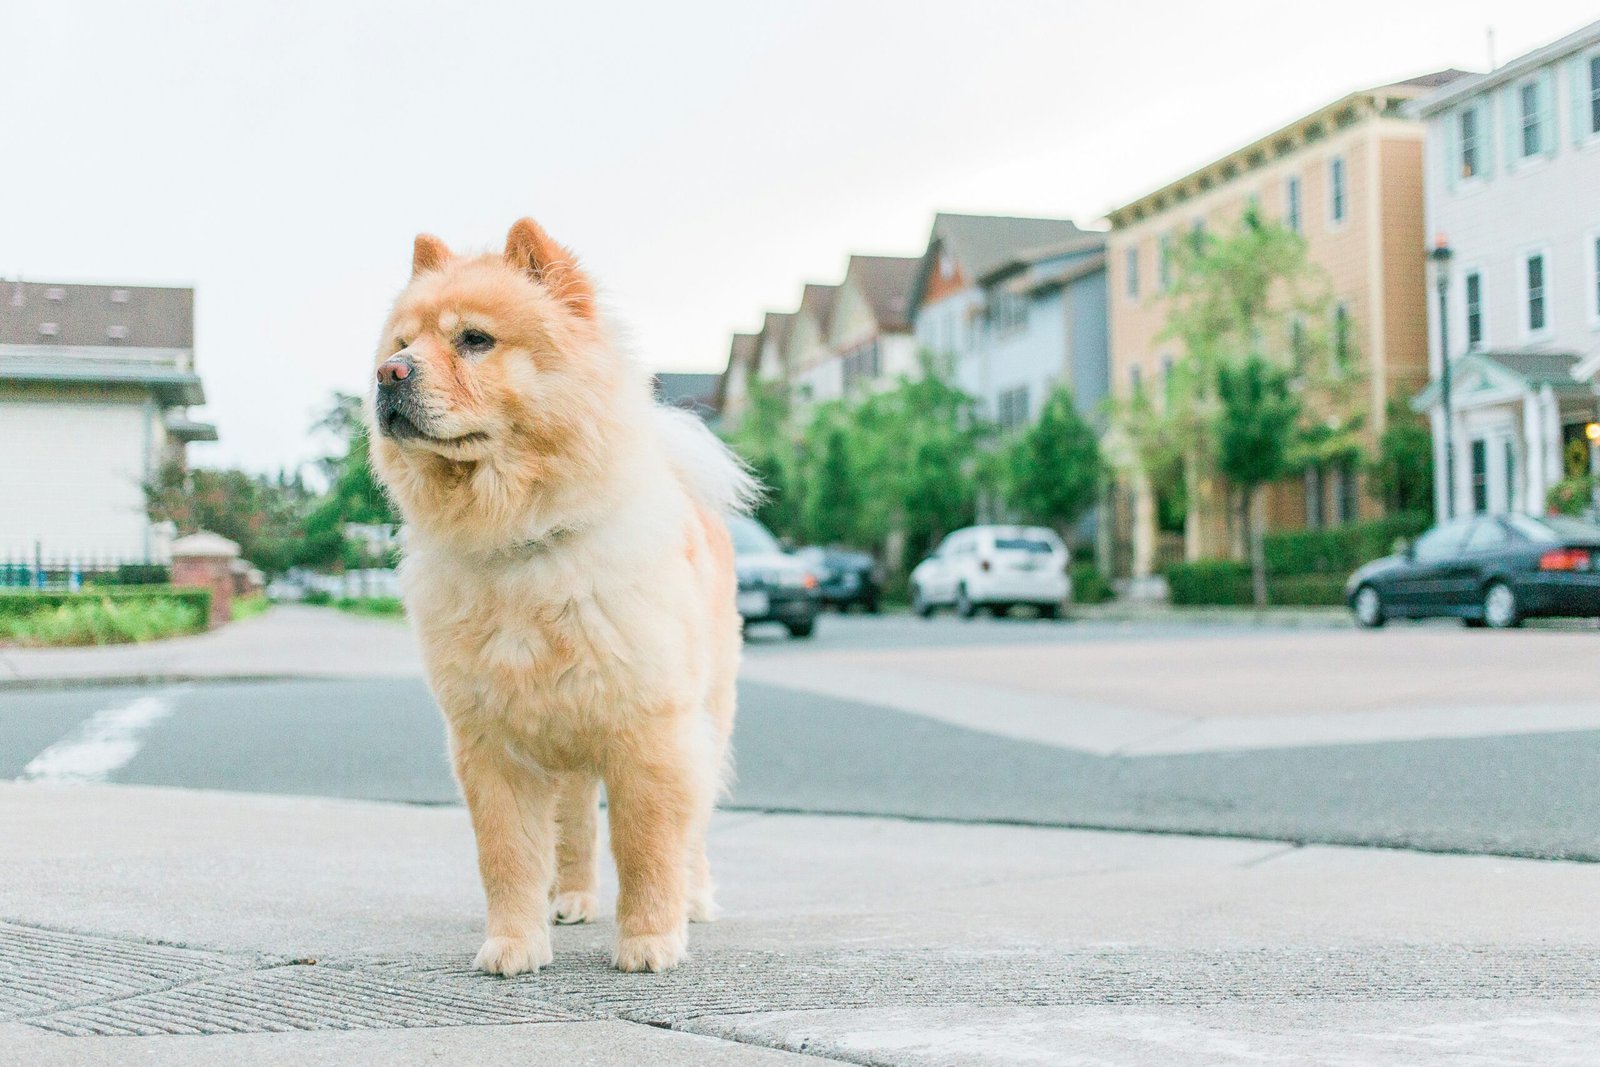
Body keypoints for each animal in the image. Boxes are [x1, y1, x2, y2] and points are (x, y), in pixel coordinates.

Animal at [368, 217, 755, 979]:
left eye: (474, 340)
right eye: (401, 343)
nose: (389, 374)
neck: (523, 540)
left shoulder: (647, 731)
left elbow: (646, 845)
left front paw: (649, 942)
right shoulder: (492, 745)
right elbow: (509, 856)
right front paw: (513, 946)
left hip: (705, 718)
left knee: (691, 831)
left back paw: (694, 901)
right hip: (566, 745)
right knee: (573, 826)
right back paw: (570, 900)